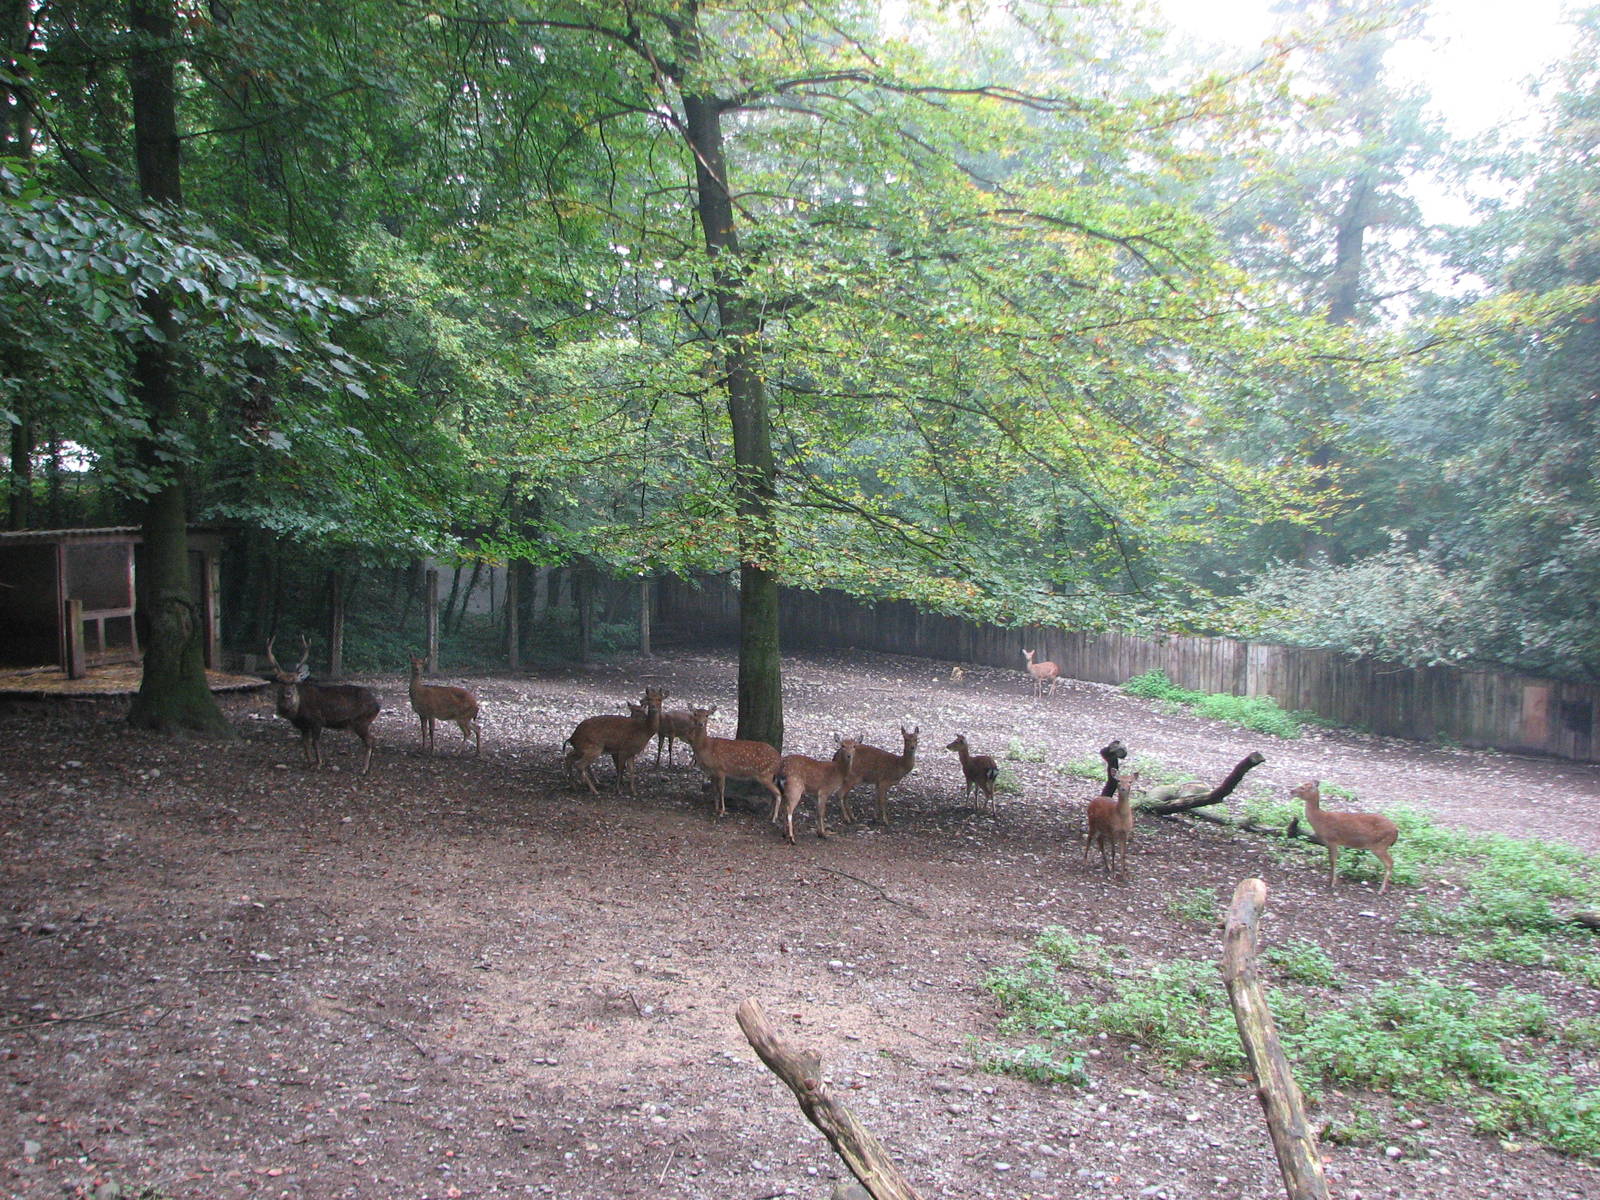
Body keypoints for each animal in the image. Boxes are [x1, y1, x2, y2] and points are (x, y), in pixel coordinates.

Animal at [264, 635, 382, 776]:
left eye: (293, 682)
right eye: (280, 681)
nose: (287, 694)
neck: (297, 711)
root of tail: (377, 705)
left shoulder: (317, 720)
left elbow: (315, 742)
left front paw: (319, 763)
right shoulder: (303, 726)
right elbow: (305, 743)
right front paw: (309, 763)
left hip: (361, 721)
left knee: (370, 740)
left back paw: (364, 769)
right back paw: (367, 767)